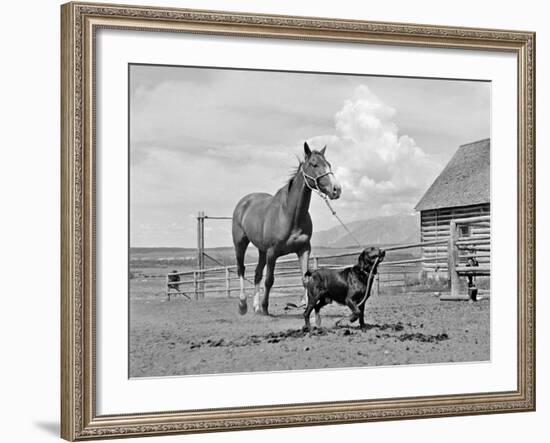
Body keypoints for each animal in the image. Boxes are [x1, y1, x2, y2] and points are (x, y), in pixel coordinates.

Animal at [232, 142, 340, 316]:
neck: (289, 215)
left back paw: (255, 307)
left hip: (262, 250)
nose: (336, 189)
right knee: (241, 269)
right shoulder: (272, 252)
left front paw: (307, 305)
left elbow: (305, 279)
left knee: (257, 274)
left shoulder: (303, 249)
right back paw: (243, 304)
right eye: (314, 164)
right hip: (241, 243)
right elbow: (269, 280)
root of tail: (244, 202)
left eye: (328, 164)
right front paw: (265, 307)